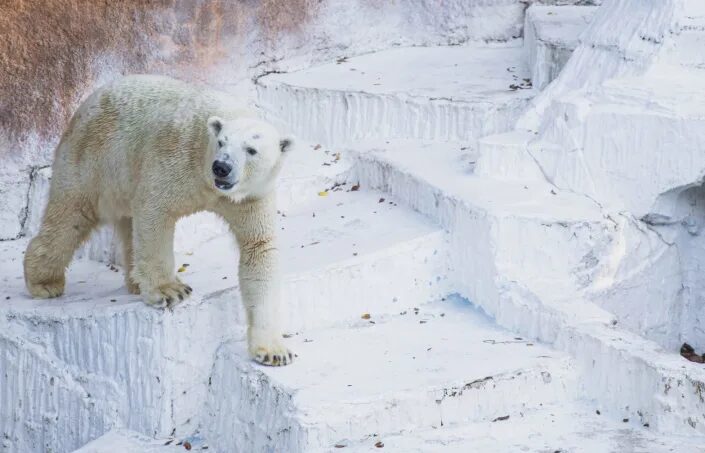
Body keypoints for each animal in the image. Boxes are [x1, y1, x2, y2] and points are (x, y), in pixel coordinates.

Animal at [23, 75, 294, 366]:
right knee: (71, 216)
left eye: (251, 150)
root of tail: (82, 108)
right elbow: (155, 210)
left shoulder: (252, 197)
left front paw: (274, 351)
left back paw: (133, 281)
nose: (221, 167)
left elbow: (259, 247)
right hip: (94, 158)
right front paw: (169, 290)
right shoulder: (178, 158)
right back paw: (44, 282)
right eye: (222, 142)